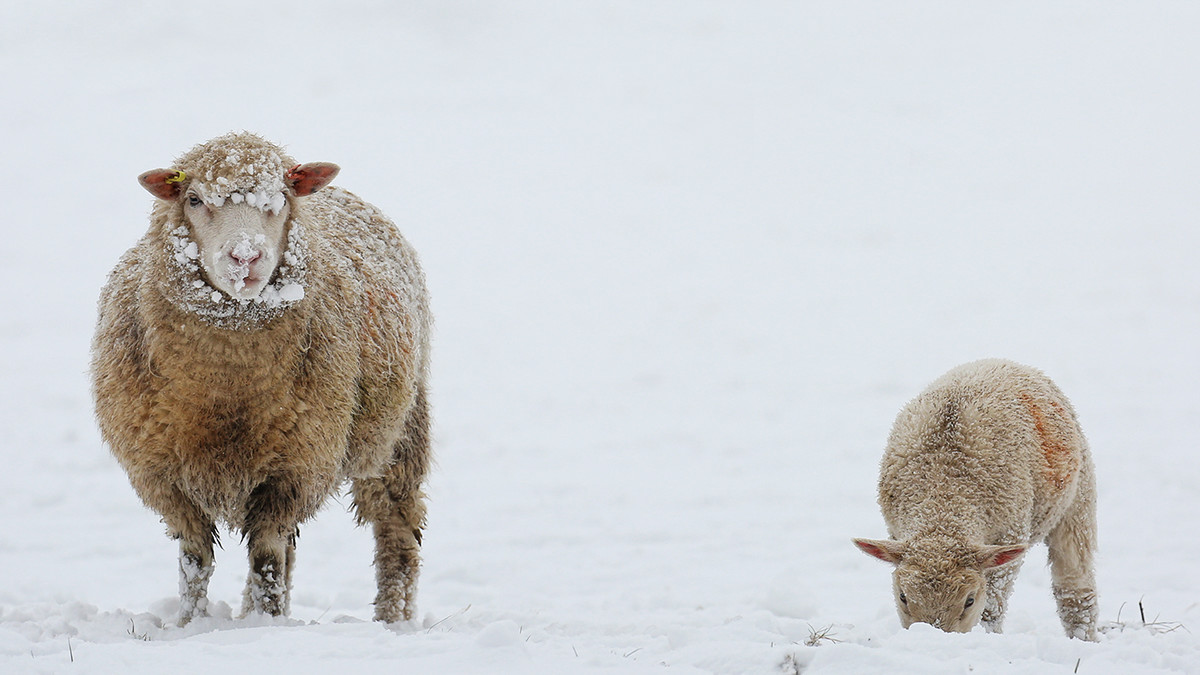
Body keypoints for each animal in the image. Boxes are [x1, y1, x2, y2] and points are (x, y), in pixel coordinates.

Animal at [92, 131, 432, 624]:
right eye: (194, 199)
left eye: (282, 197)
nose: (245, 256)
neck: (227, 388)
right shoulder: (162, 475)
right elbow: (195, 560)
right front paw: (191, 623)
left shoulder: (295, 468)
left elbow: (266, 559)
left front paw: (266, 625)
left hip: (397, 434)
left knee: (396, 531)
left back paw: (393, 619)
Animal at [854, 357, 1099, 634]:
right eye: (903, 597)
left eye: (969, 601)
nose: (934, 636)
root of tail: (1002, 361)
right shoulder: (897, 531)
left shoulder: (1010, 534)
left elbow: (992, 603)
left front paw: (988, 633)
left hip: (1078, 499)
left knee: (1074, 589)